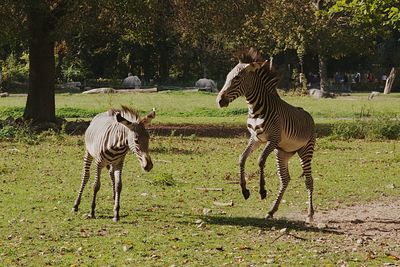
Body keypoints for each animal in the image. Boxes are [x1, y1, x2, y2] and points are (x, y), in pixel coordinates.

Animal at [216, 57, 316, 224]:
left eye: (237, 78)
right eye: (227, 77)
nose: (219, 100)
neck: (255, 110)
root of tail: (309, 115)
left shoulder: (273, 139)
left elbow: (260, 160)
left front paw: (262, 191)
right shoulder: (255, 138)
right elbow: (242, 158)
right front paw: (244, 190)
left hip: (305, 151)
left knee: (309, 181)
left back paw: (309, 214)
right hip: (282, 153)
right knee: (285, 179)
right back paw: (272, 211)